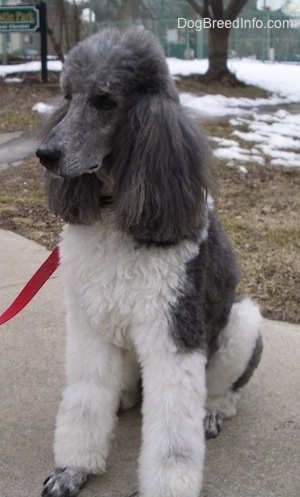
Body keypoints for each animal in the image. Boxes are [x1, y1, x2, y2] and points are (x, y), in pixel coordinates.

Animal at [37, 27, 262, 496]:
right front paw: (73, 468)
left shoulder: (173, 333)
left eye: (105, 100)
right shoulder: (90, 325)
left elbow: (173, 438)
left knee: (225, 392)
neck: (115, 211)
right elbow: (85, 401)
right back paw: (123, 399)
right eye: (67, 96)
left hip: (242, 325)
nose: (44, 154)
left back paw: (213, 411)